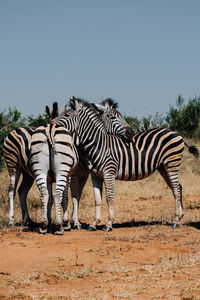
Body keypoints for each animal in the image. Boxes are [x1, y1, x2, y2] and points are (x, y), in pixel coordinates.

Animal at [54, 97, 198, 231]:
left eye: (67, 115)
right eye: (112, 117)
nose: (52, 123)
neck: (98, 144)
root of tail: (176, 133)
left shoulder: (109, 173)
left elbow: (109, 197)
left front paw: (109, 224)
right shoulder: (95, 175)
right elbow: (97, 199)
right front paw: (94, 224)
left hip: (172, 163)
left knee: (176, 189)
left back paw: (175, 221)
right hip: (163, 167)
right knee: (177, 188)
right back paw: (179, 217)